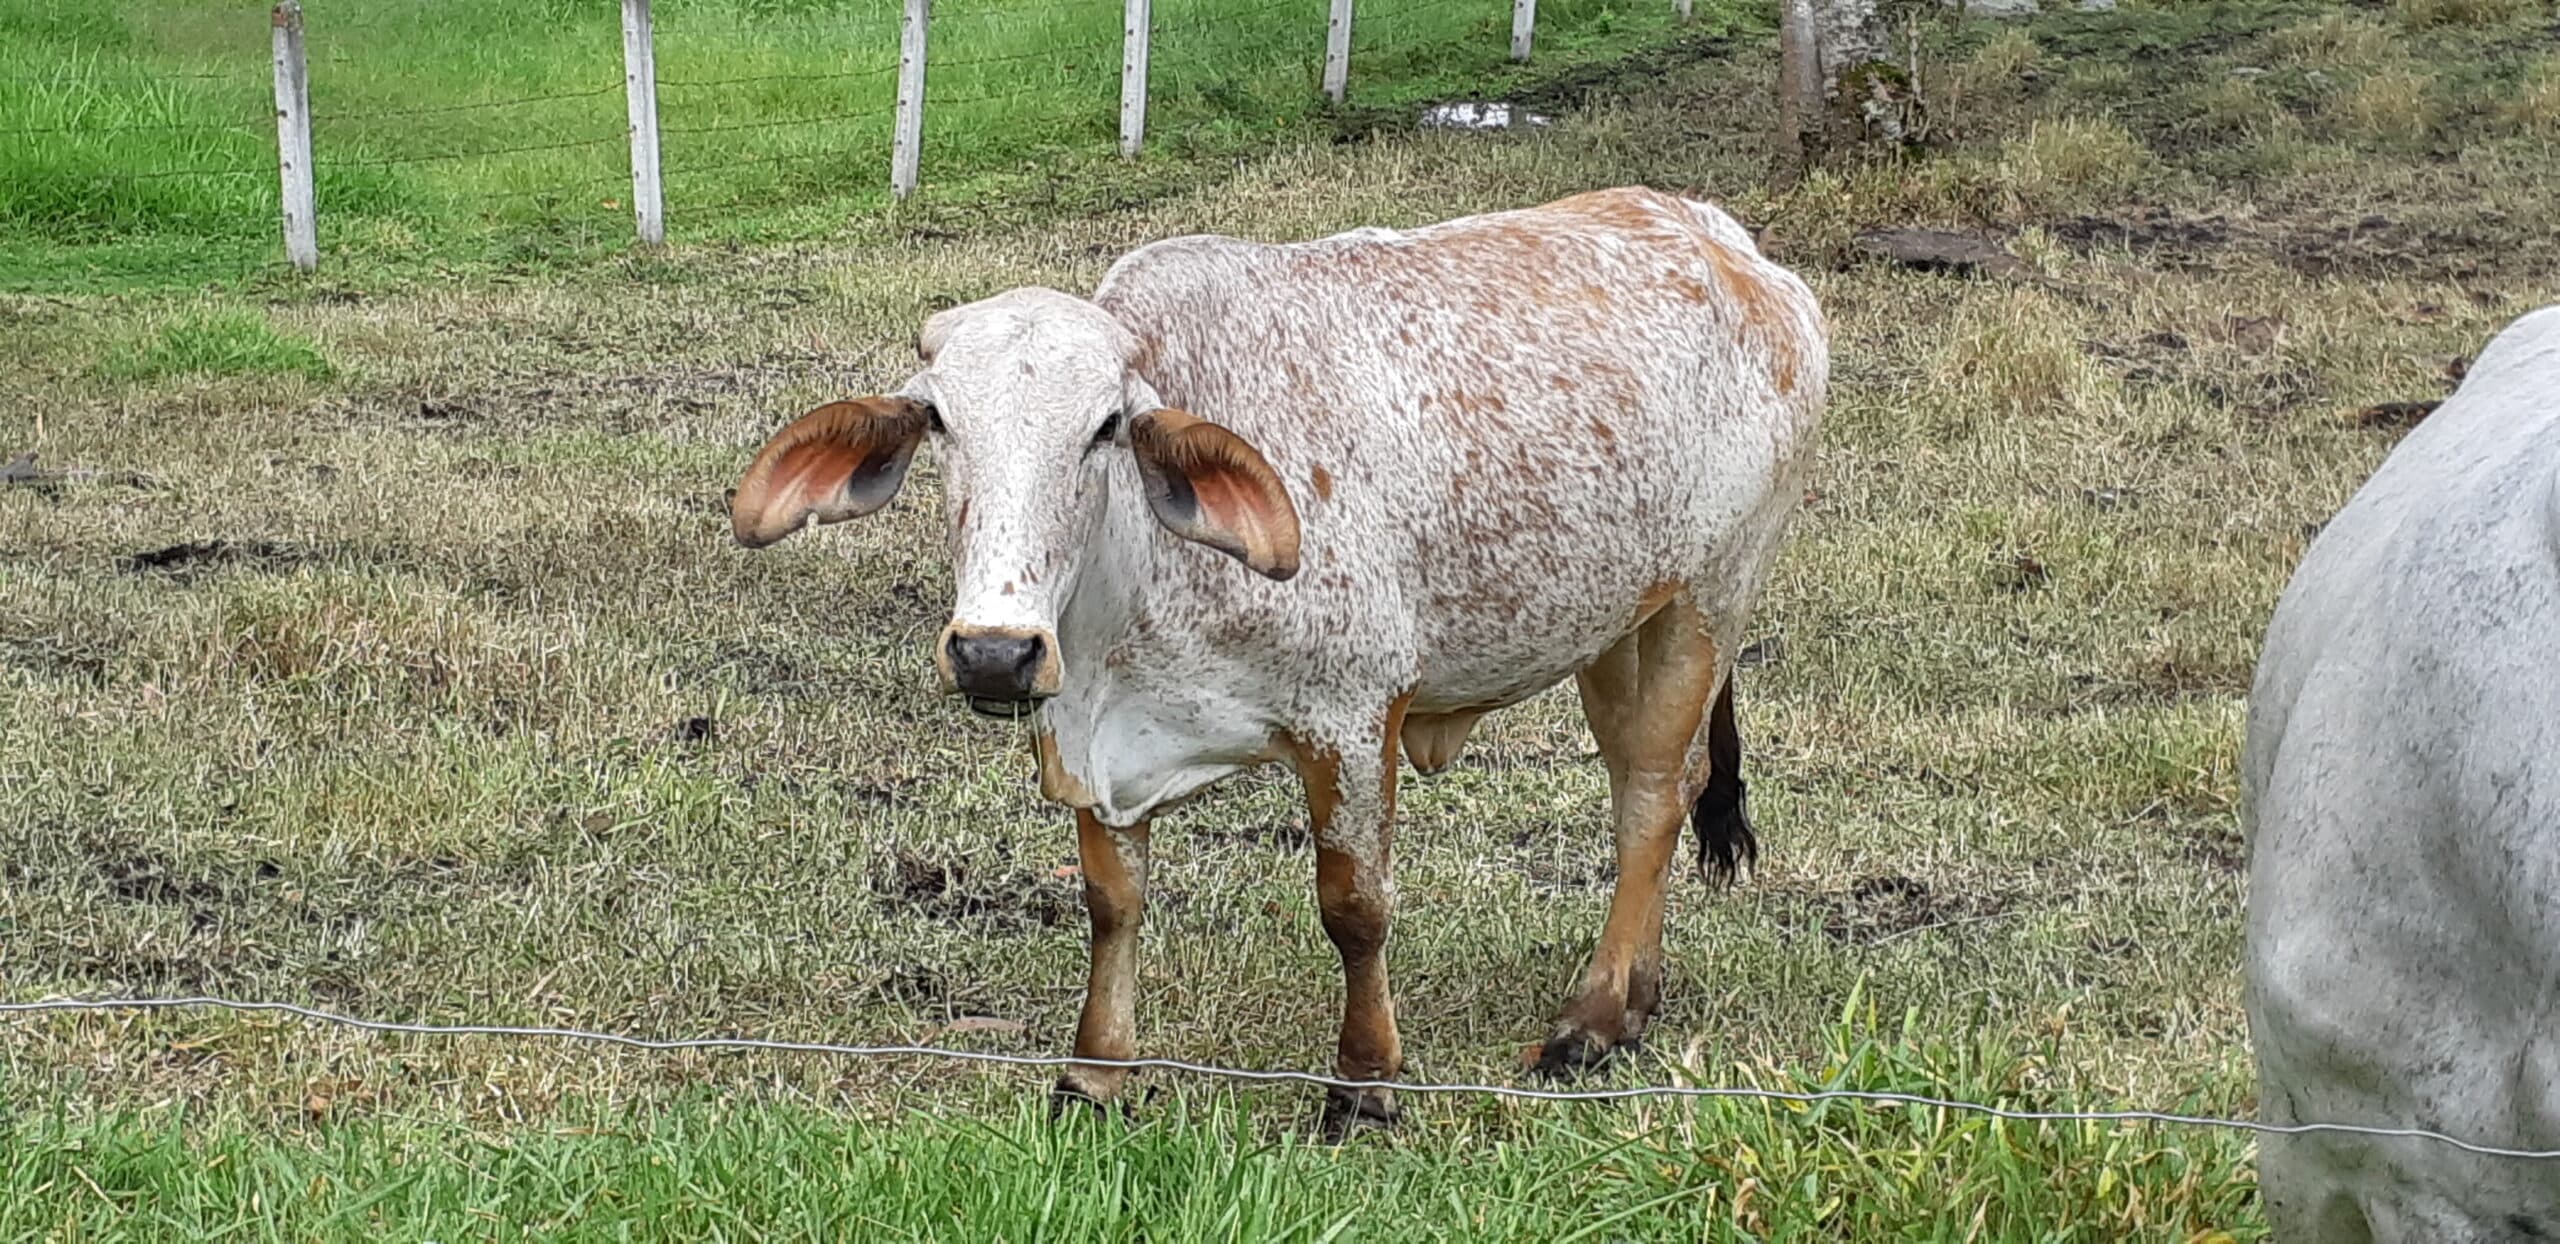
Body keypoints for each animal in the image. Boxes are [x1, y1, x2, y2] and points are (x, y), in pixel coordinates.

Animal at [728, 186, 1827, 1130]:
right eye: (941, 422)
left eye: (1105, 428)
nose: (995, 652)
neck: (1136, 583)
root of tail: (1726, 240)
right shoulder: (1092, 735)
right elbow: (1110, 903)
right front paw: (1096, 1074)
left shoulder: (1351, 718)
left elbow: (1355, 908)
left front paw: (1364, 1085)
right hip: (1615, 621)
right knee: (1654, 780)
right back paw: (1636, 996)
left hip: (1710, 596)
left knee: (1651, 799)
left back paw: (1590, 1020)